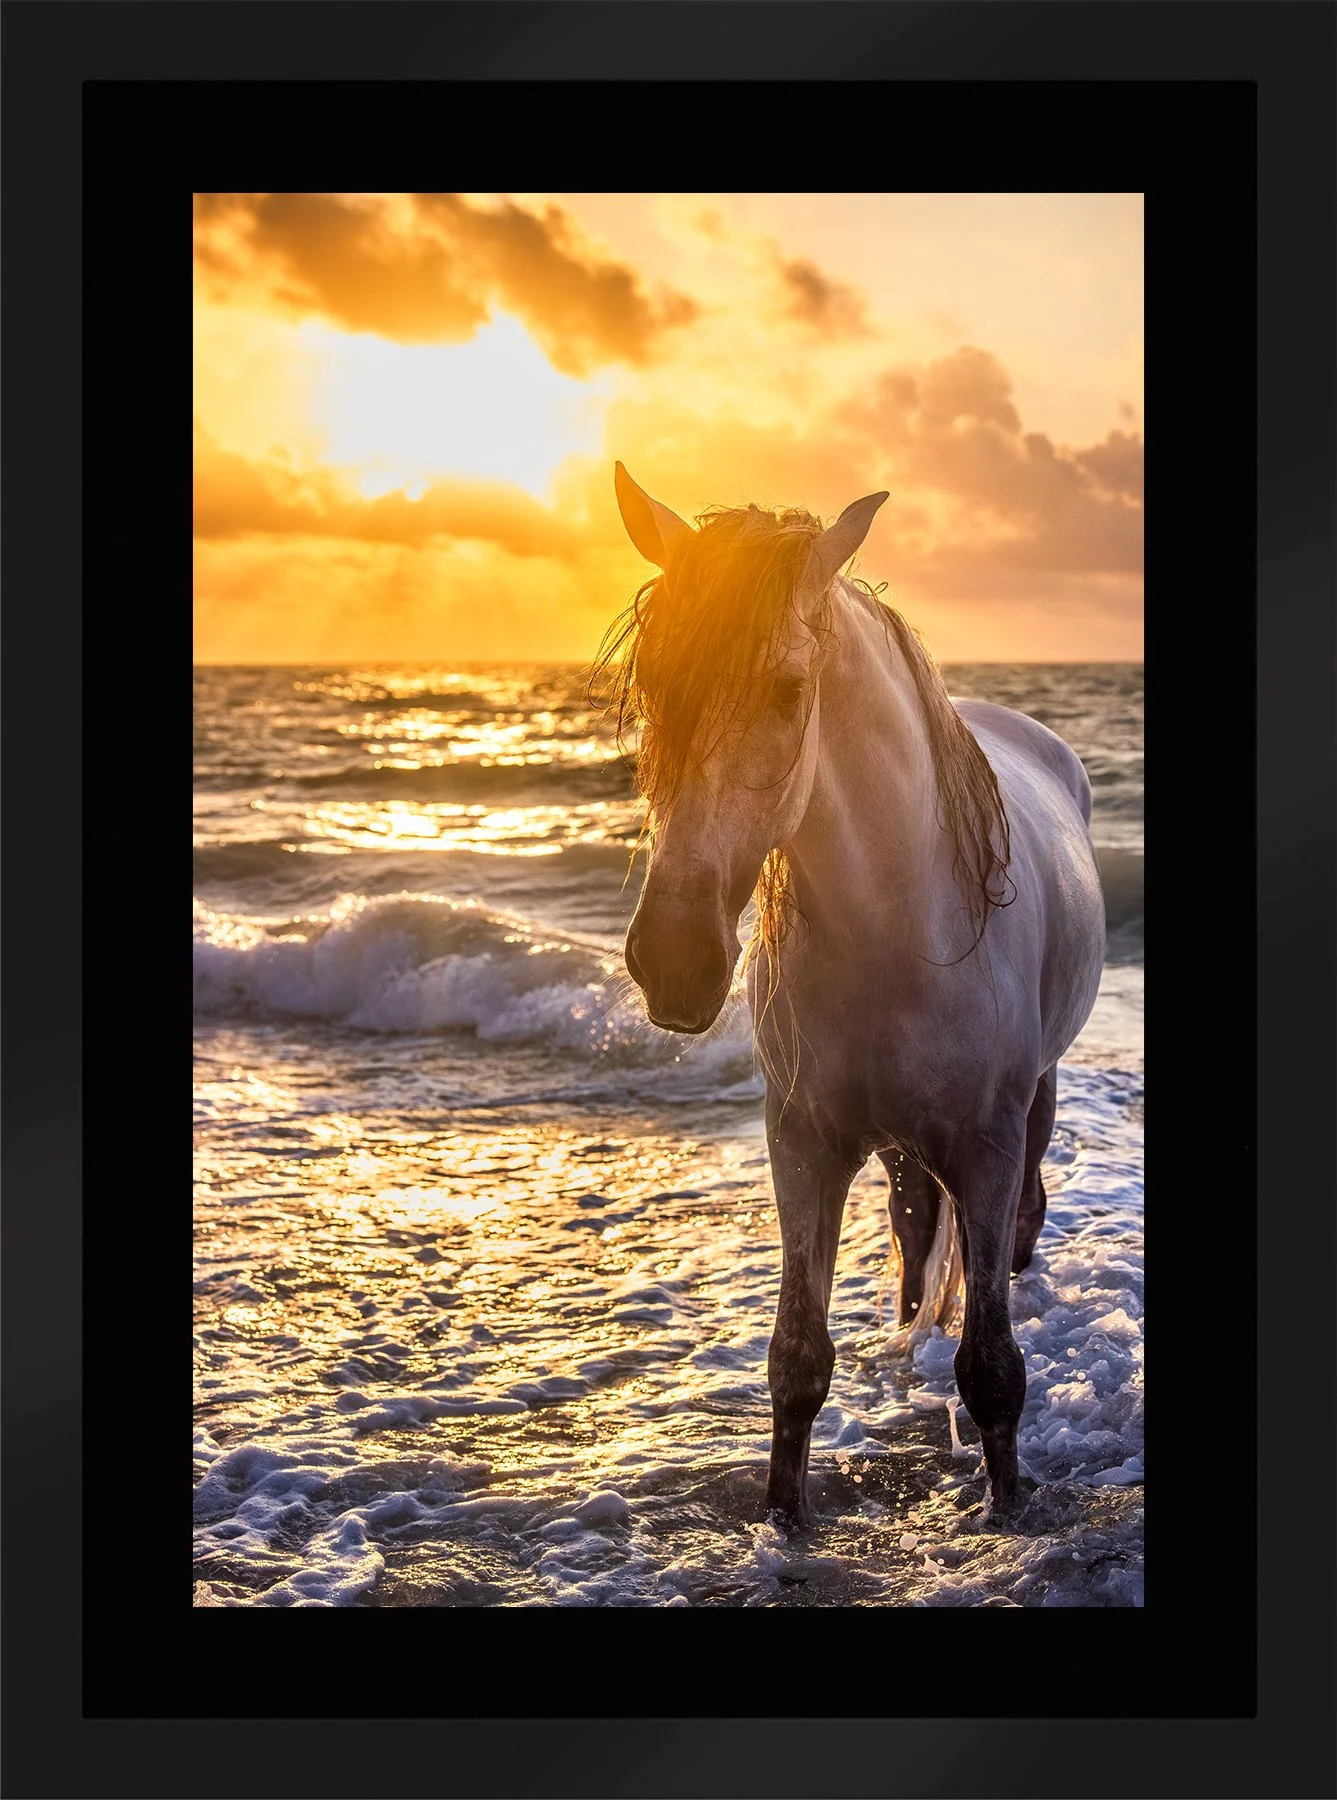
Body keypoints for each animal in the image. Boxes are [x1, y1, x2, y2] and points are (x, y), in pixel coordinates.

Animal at [597, 462, 1106, 1528]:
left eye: (790, 689)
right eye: (654, 685)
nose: (673, 960)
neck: (901, 931)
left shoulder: (986, 1147)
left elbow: (991, 1369)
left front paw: (1005, 1513)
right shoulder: (802, 1144)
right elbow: (796, 1360)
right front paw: (785, 1523)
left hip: (1034, 1103)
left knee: (1019, 1222)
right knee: (914, 1230)